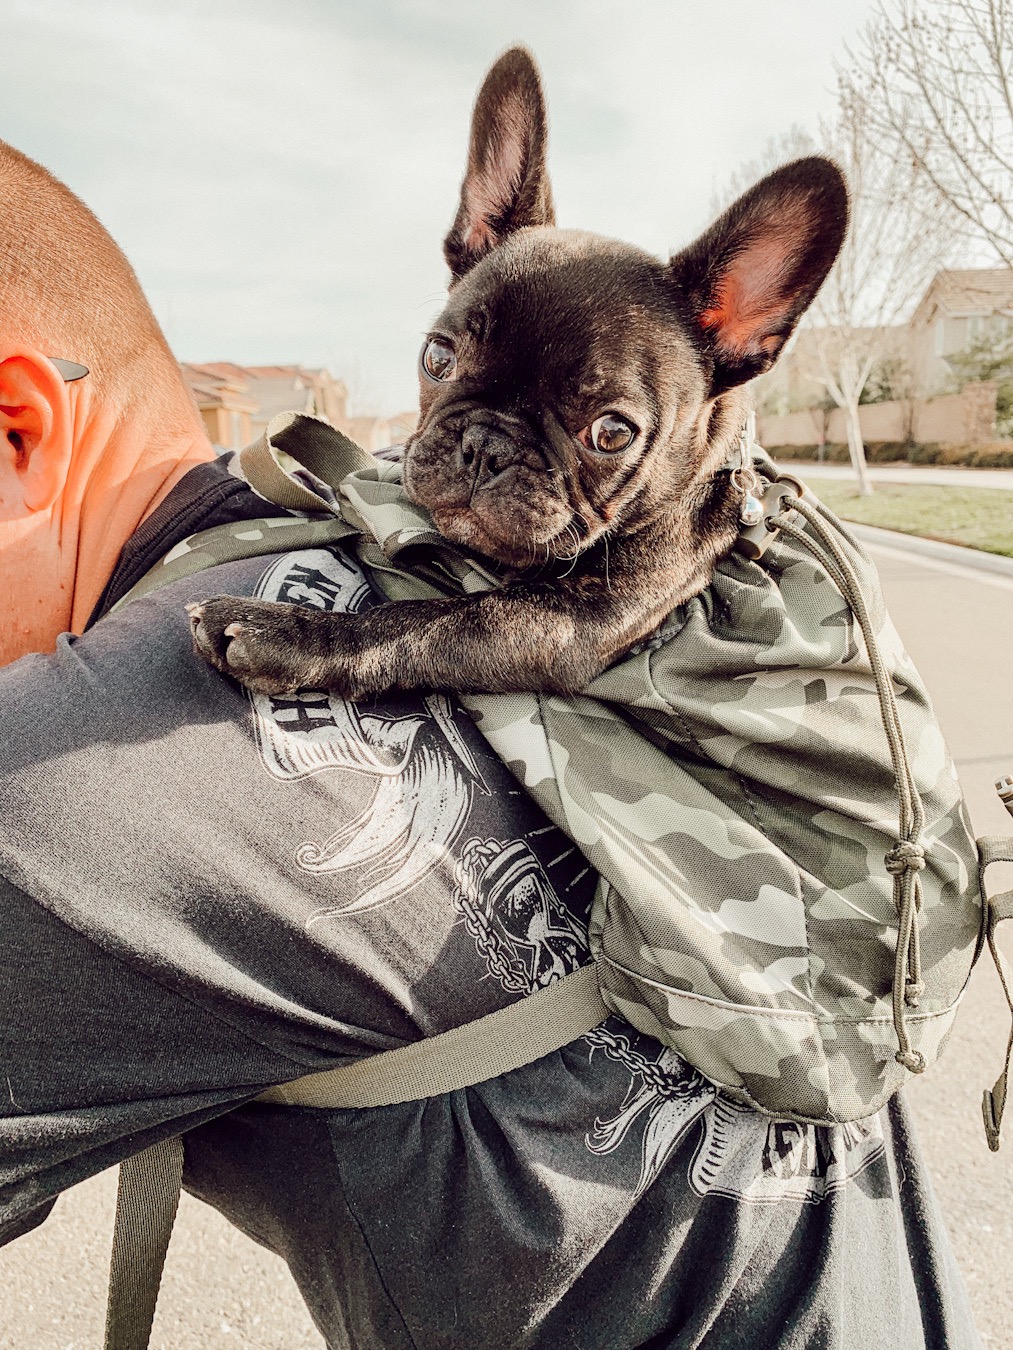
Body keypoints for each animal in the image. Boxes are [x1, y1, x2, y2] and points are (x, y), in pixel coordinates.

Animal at [189, 44, 848, 696]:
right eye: (437, 357)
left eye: (613, 433)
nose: (486, 445)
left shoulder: (573, 618)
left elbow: (430, 622)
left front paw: (290, 634)